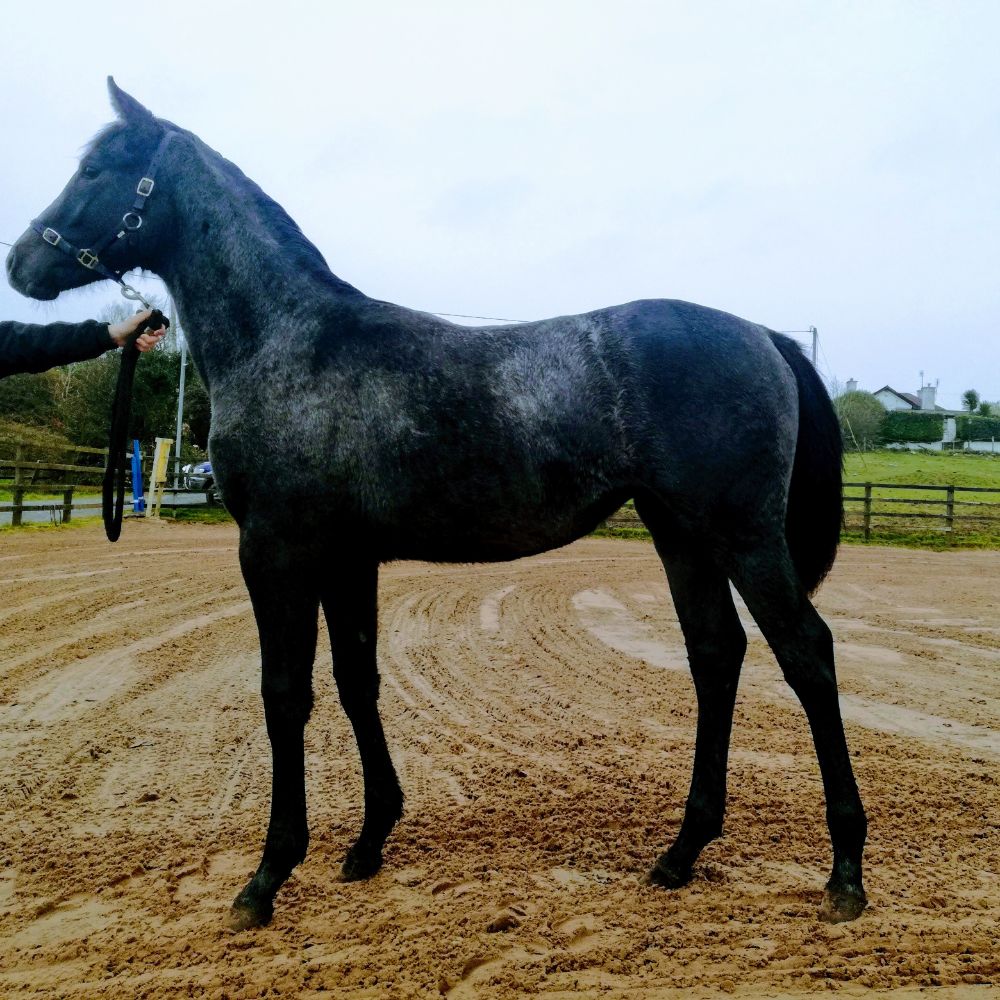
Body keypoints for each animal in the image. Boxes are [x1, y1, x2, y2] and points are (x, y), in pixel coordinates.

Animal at [6, 79, 867, 930]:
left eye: (95, 170)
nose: (21, 263)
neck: (292, 344)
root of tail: (762, 335)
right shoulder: (347, 559)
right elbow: (357, 680)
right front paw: (368, 842)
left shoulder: (276, 551)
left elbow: (285, 694)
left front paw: (266, 877)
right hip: (682, 536)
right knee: (716, 656)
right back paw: (680, 855)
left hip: (743, 537)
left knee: (807, 654)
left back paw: (845, 874)